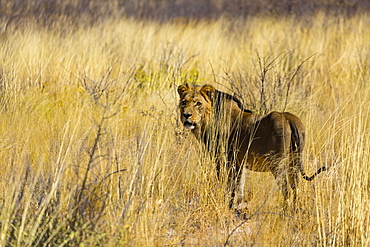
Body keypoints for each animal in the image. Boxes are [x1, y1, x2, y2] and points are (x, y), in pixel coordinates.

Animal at [178, 84, 326, 213]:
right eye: (184, 102)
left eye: (198, 103)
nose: (186, 115)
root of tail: (290, 119)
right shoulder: (238, 163)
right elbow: (239, 186)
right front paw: (236, 207)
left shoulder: (223, 160)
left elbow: (227, 184)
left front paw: (226, 204)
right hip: (293, 162)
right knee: (295, 188)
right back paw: (294, 212)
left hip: (277, 163)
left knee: (287, 189)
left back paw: (285, 212)